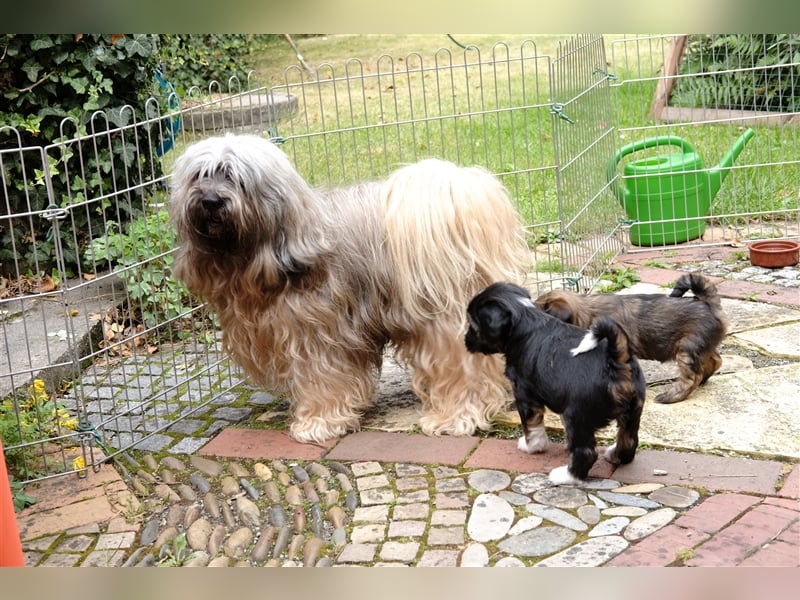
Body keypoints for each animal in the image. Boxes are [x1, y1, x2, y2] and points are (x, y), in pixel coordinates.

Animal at [169, 137, 532, 446]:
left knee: (464, 368)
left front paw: (317, 423)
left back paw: (454, 418)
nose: (211, 201)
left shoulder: (317, 336)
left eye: (235, 178)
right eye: (200, 176)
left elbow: (322, 380)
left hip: (443, 316)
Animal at [466, 284, 648, 486]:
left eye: (473, 325)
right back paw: (614, 455)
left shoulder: (525, 395)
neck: (525, 317)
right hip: (633, 411)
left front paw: (530, 447)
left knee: (586, 452)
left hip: (577, 416)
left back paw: (565, 476)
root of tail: (617, 362)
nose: (465, 341)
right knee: (629, 442)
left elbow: (532, 428)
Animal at [536, 274, 728, 406]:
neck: (586, 312)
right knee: (715, 361)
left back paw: (670, 397)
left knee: (691, 377)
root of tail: (708, 303)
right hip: (701, 345)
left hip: (687, 349)